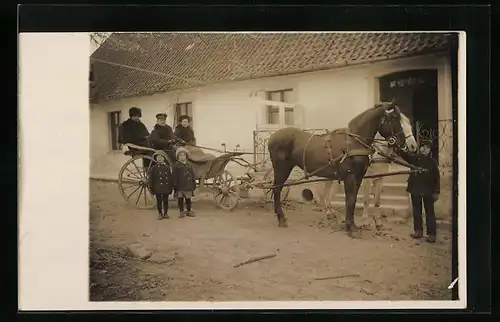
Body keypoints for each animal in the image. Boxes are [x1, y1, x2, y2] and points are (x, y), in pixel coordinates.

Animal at [268, 102, 416, 238]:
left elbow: (354, 200)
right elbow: (351, 200)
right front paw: (352, 228)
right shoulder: (350, 177)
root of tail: (272, 137)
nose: (407, 145)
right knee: (277, 190)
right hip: (282, 169)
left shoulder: (359, 178)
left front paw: (350, 225)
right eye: (395, 118)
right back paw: (281, 218)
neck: (354, 142)